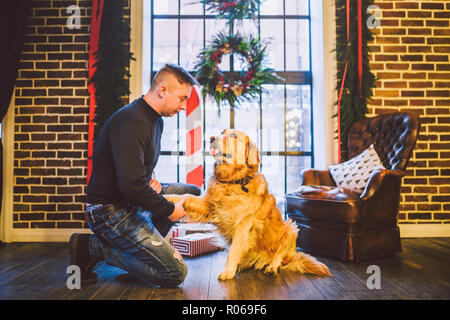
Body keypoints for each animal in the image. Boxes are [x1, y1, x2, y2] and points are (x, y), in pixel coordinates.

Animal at [165, 129, 330, 278]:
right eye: (222, 132)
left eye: (233, 135)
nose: (211, 138)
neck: (234, 181)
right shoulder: (209, 205)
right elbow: (186, 197)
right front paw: (167, 197)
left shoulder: (243, 225)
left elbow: (234, 250)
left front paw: (228, 271)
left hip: (291, 228)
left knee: (281, 255)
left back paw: (272, 267)